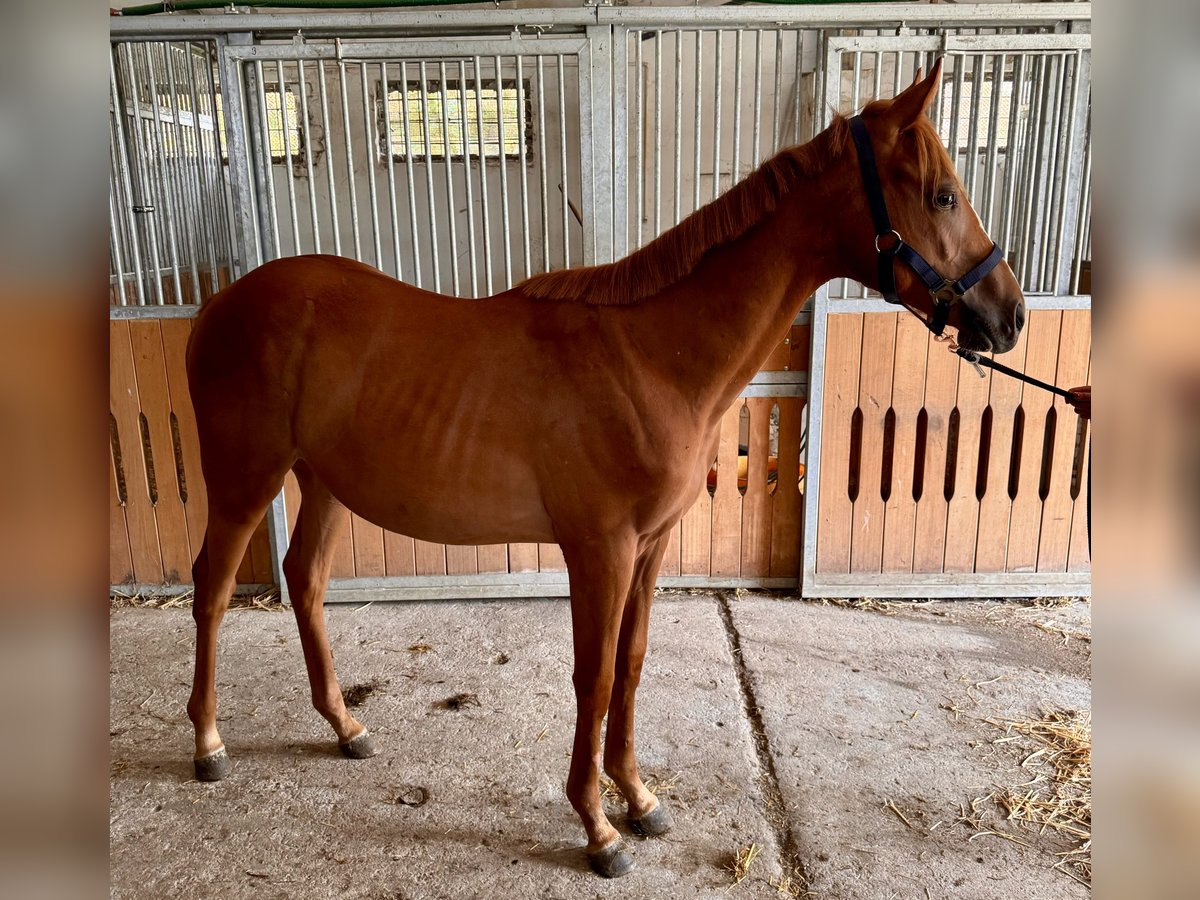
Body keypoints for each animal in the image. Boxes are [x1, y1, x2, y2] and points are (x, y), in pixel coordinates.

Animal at [184, 65, 1022, 883]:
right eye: (942, 195)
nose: (1009, 316)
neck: (649, 357)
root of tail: (219, 302)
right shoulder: (600, 552)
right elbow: (591, 677)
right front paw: (597, 828)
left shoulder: (647, 549)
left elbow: (630, 664)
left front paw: (639, 797)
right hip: (246, 478)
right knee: (213, 587)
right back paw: (208, 744)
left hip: (323, 481)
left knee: (306, 580)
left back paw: (346, 726)